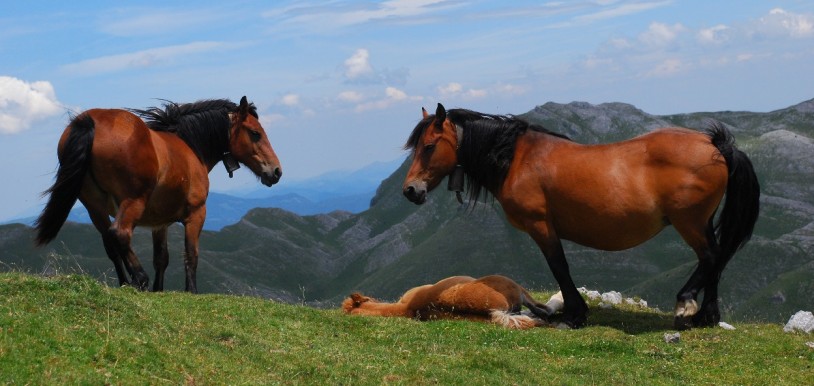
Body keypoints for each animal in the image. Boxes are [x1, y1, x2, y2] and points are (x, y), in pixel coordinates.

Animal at [35, 96, 282, 292]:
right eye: (255, 133)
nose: (276, 171)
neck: (190, 146)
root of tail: (90, 121)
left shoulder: (159, 222)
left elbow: (161, 258)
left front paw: (158, 289)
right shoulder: (196, 214)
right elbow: (191, 255)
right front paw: (191, 291)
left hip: (94, 207)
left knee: (109, 242)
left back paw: (125, 282)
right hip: (132, 201)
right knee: (119, 233)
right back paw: (139, 279)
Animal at [404, 104, 760, 330]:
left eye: (430, 146)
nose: (410, 190)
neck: (515, 158)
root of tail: (715, 144)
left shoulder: (541, 226)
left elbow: (560, 267)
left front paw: (574, 315)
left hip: (690, 222)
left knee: (711, 257)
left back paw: (687, 304)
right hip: (701, 222)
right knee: (715, 260)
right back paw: (706, 316)